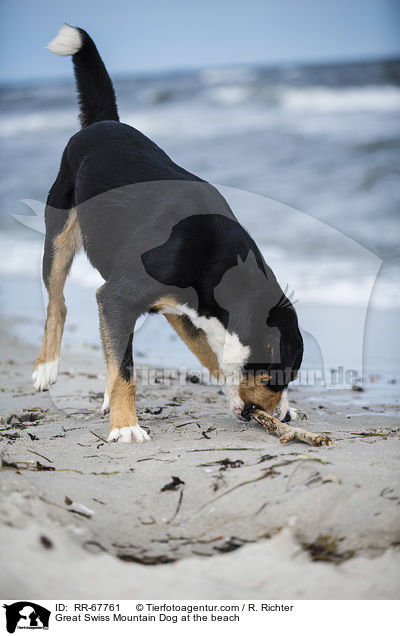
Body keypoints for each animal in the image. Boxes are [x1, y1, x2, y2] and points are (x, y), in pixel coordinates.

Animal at [33, 24, 304, 442]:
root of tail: (102, 123)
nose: (287, 416)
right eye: (279, 378)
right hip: (59, 234)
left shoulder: (186, 313)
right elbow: (125, 370)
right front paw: (127, 427)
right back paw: (47, 368)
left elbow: (209, 356)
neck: (217, 264)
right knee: (57, 303)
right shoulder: (115, 298)